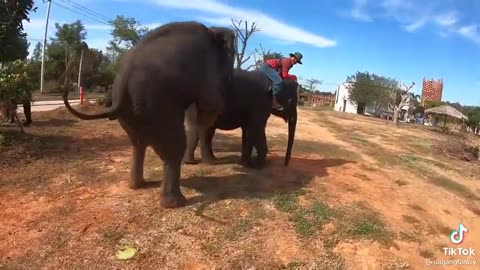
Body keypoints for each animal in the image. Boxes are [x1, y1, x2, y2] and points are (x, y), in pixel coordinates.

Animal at [63, 22, 236, 210]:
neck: (213, 29)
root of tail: (124, 78)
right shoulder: (208, 68)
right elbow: (209, 104)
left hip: (132, 110)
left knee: (138, 143)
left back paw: (137, 185)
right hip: (157, 105)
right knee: (173, 147)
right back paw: (175, 203)